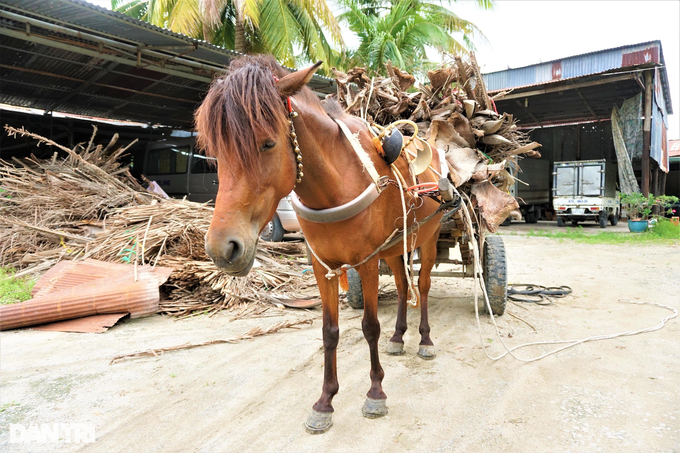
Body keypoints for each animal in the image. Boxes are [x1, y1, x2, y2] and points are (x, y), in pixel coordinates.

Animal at [197, 55, 448, 430]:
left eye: (268, 143)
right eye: (215, 152)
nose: (222, 248)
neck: (335, 186)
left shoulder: (366, 262)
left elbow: (369, 326)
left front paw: (375, 393)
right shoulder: (322, 266)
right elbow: (329, 331)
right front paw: (325, 401)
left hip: (428, 239)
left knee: (424, 285)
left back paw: (425, 339)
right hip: (394, 247)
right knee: (405, 286)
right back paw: (398, 337)